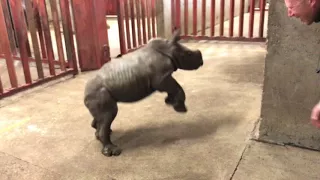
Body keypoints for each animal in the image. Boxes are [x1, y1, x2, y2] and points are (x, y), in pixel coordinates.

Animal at [84, 28, 204, 157]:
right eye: (189, 54)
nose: (201, 61)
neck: (169, 48)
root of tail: (84, 94)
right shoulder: (161, 78)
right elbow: (177, 88)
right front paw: (180, 108)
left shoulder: (163, 78)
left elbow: (174, 88)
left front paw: (169, 101)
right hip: (98, 93)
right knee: (109, 114)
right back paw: (114, 151)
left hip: (96, 94)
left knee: (102, 116)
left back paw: (103, 133)